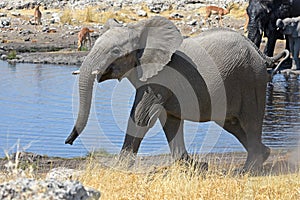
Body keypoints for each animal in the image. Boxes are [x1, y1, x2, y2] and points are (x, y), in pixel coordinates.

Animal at [65, 16, 288, 172]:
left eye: (115, 52)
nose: (68, 142)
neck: (139, 29)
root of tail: (260, 53)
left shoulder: (161, 78)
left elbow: (140, 116)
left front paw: (120, 166)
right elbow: (169, 120)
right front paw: (192, 165)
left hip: (251, 79)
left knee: (250, 121)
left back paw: (247, 170)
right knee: (231, 123)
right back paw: (263, 155)